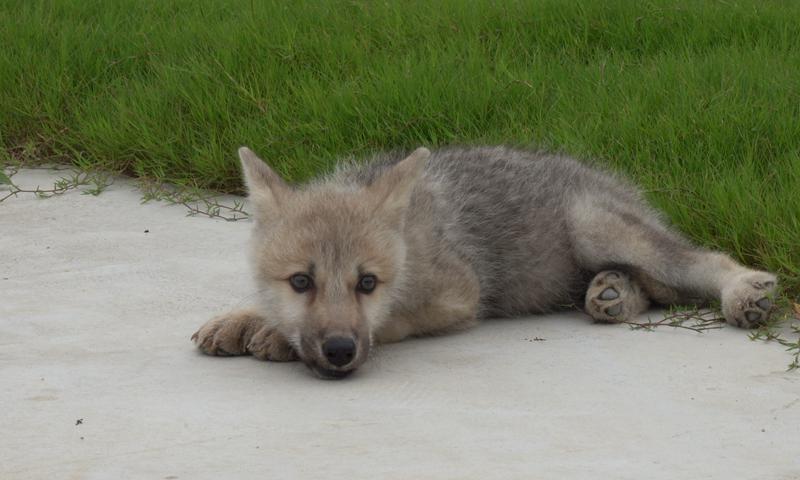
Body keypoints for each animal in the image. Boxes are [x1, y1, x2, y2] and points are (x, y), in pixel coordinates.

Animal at [192, 146, 778, 379]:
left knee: (697, 263)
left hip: (596, 226)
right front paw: (247, 317)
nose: (339, 353)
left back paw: (744, 291)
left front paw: (272, 334)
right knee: (656, 288)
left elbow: (392, 322)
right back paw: (612, 293)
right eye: (300, 281)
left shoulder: (459, 298)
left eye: (368, 283)